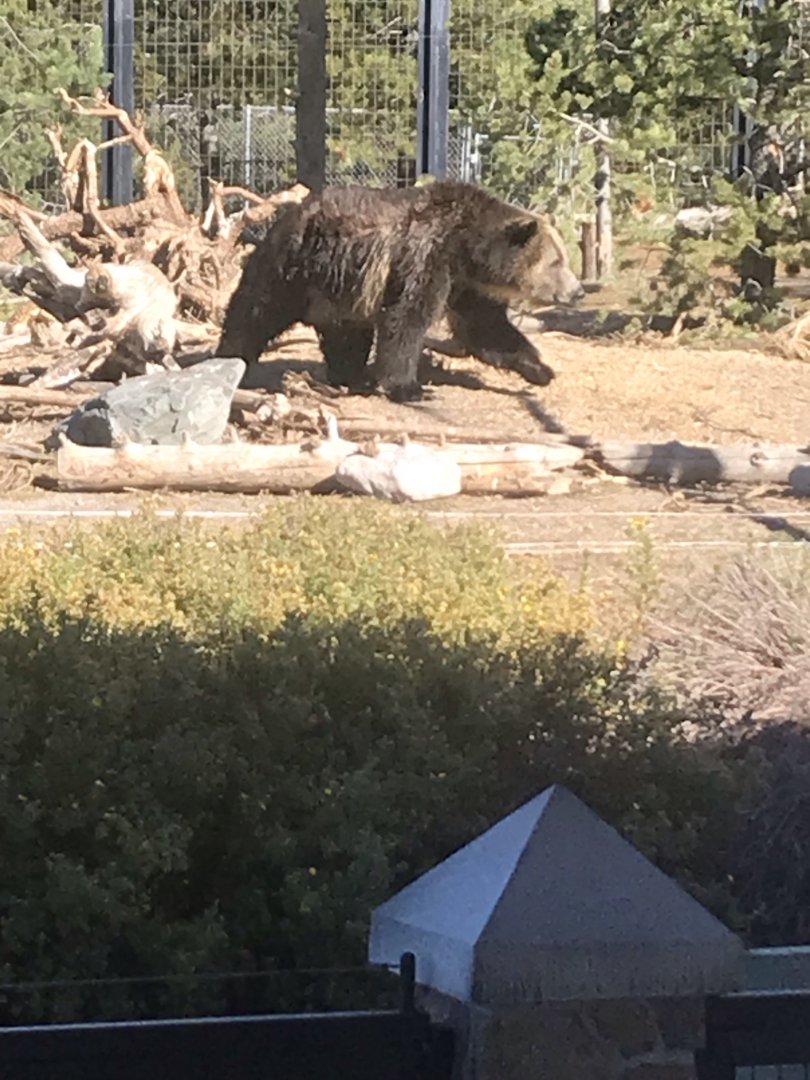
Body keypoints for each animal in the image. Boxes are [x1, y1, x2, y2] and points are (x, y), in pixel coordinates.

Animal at [216, 180, 584, 402]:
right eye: (556, 262)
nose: (578, 291)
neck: (465, 248)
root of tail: (290, 213)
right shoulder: (425, 255)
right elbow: (406, 317)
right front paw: (409, 387)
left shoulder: (464, 285)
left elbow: (485, 328)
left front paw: (539, 369)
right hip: (296, 266)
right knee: (257, 309)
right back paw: (232, 357)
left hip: (344, 290)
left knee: (347, 336)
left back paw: (353, 376)